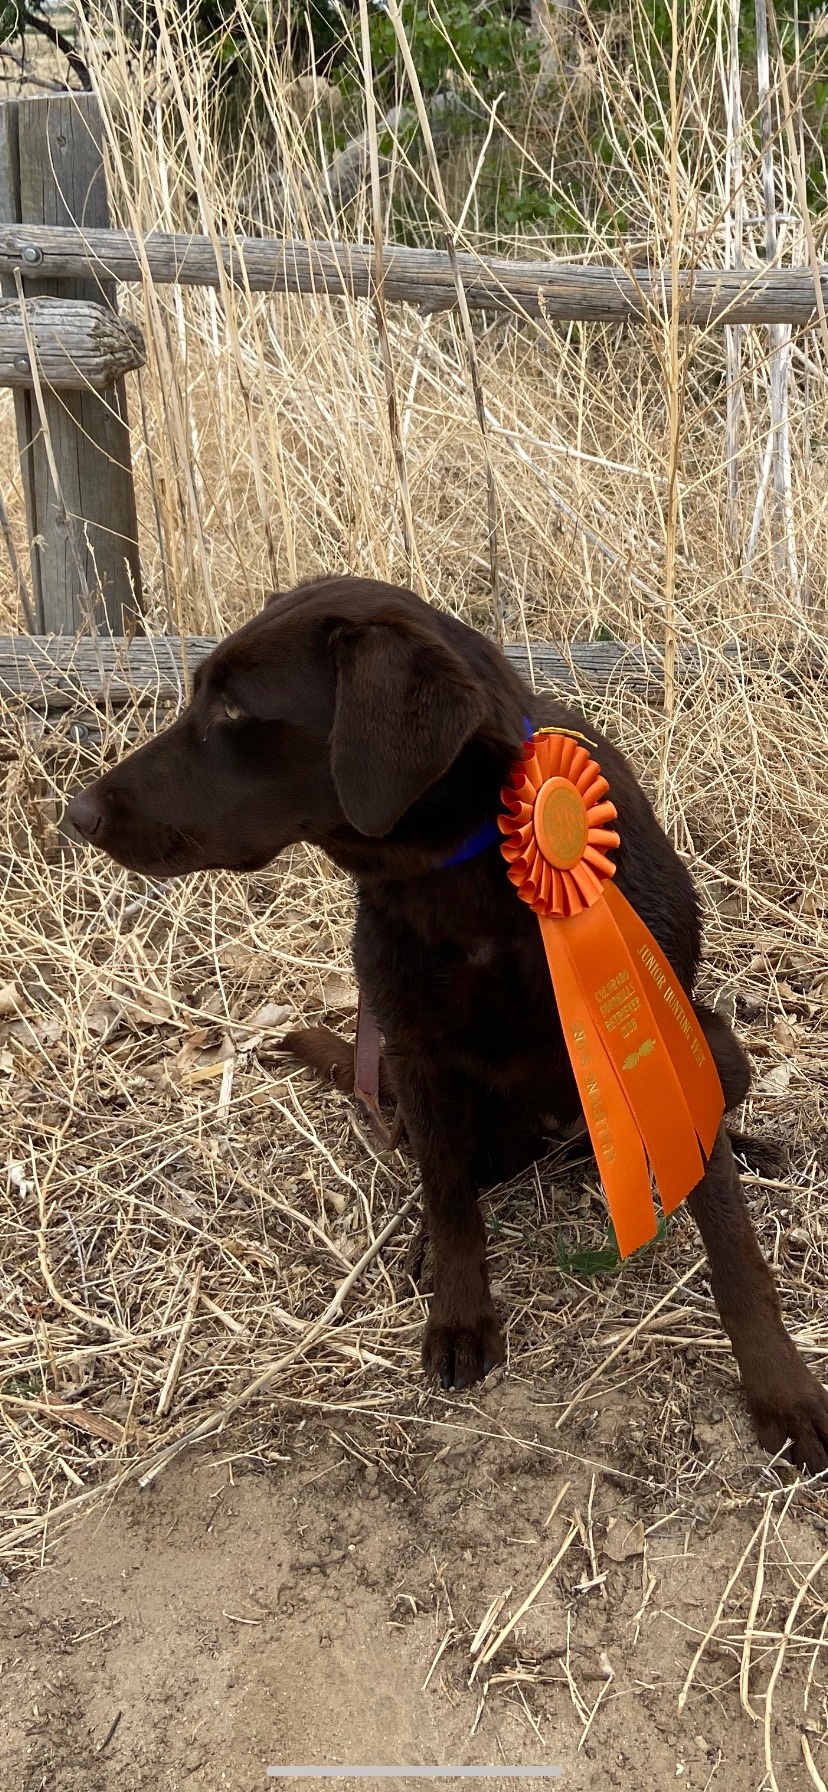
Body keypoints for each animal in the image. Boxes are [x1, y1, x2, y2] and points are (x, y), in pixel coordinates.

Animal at [68, 573, 828, 1469]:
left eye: (231, 711)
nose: (78, 814)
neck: (474, 869)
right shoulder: (417, 1054)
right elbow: (449, 1199)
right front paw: (460, 1315)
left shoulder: (657, 1031)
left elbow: (734, 1248)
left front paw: (782, 1390)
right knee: (458, 1175)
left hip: (714, 1040)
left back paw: (746, 1149)